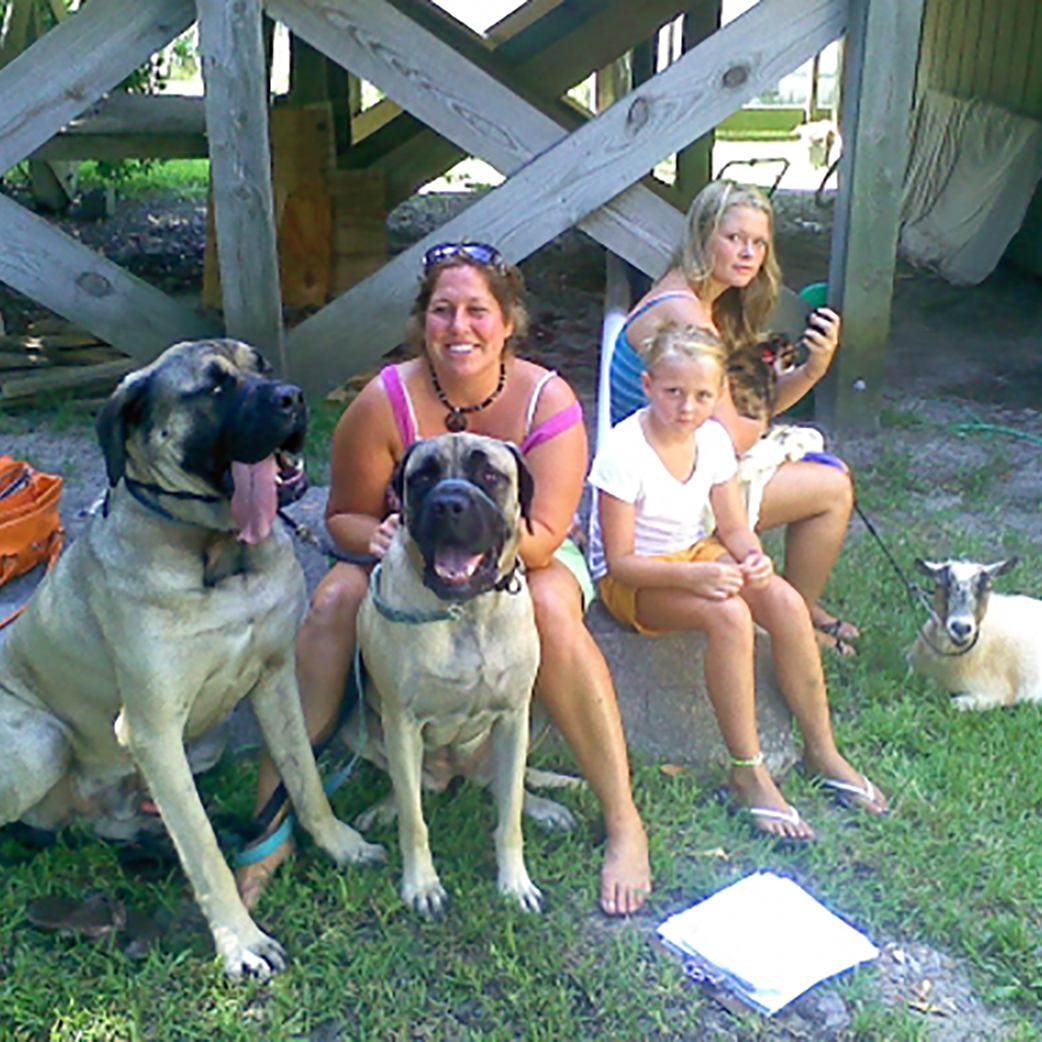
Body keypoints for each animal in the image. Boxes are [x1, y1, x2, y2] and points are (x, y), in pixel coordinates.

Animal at [0, 339, 385, 975]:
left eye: (263, 367)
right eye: (213, 387)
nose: (293, 397)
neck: (218, 551)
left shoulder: (277, 678)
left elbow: (303, 776)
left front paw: (337, 843)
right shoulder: (152, 729)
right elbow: (203, 849)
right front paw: (241, 942)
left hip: (203, 743)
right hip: (42, 739)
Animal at [345, 435, 575, 916]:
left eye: (489, 475)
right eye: (423, 476)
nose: (449, 504)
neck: (465, 609)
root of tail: (456, 773)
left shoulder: (513, 716)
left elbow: (509, 817)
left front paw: (515, 883)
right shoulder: (402, 721)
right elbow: (415, 821)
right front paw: (421, 885)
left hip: (534, 719)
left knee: (505, 784)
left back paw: (543, 804)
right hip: (357, 727)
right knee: (408, 787)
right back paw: (383, 808)